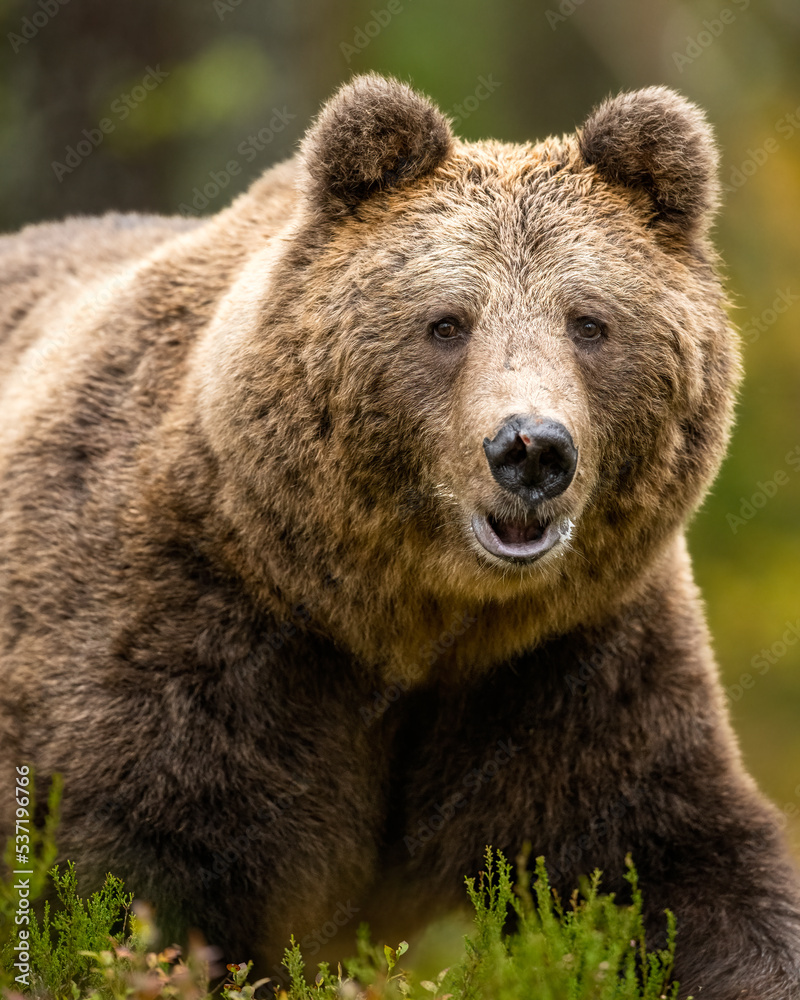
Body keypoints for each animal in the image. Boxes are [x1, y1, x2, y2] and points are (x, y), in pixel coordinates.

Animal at [1, 74, 800, 996]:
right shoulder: (188, 622)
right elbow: (143, 873)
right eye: (447, 322)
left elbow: (681, 857)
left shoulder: (574, 656)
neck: (405, 619)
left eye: (589, 322)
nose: (531, 449)